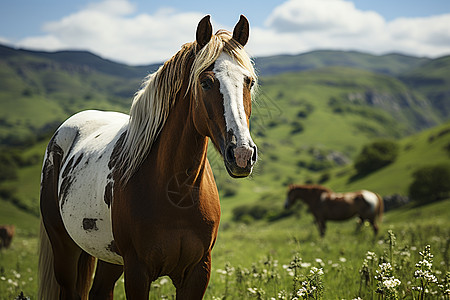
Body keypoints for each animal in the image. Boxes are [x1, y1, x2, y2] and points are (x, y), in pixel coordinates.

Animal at [40, 15, 258, 300]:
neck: (176, 193)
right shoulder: (137, 271)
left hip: (109, 258)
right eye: (205, 82)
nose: (242, 154)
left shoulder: (198, 272)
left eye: (248, 81)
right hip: (64, 248)